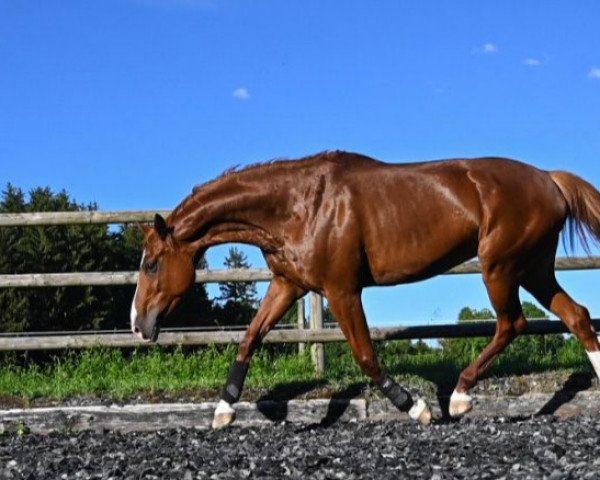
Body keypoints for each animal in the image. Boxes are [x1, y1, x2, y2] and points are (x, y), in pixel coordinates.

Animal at [129, 151, 600, 428]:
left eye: (151, 264)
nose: (137, 324)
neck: (299, 205)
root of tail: (549, 179)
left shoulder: (341, 289)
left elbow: (365, 354)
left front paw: (416, 407)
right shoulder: (288, 284)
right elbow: (249, 338)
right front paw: (224, 410)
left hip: (500, 268)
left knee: (512, 323)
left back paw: (459, 398)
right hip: (532, 269)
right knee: (576, 316)